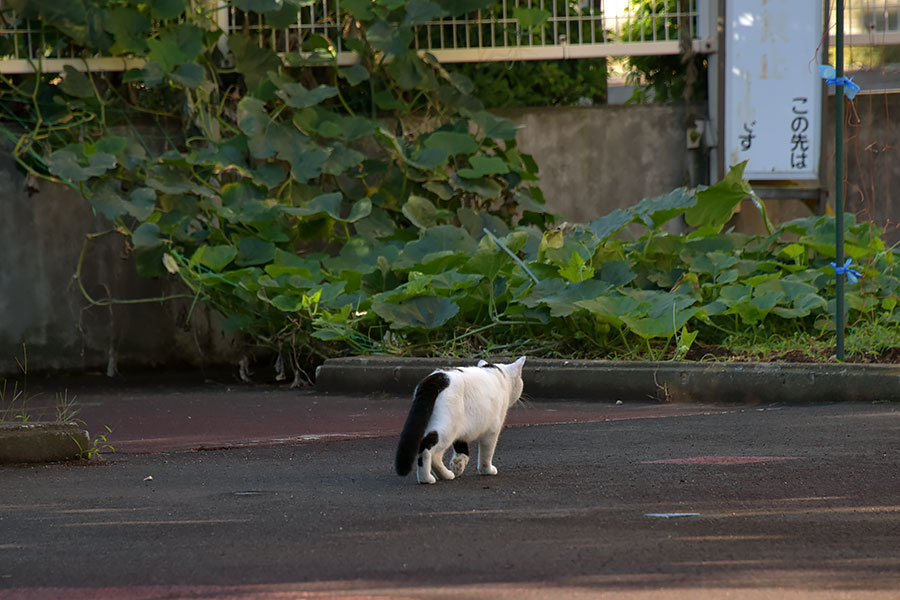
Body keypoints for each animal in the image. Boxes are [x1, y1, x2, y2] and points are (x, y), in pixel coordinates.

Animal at [394, 356, 528, 482]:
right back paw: (426, 478)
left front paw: (458, 464)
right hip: (447, 428)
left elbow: (461, 447)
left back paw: (445, 475)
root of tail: (437, 377)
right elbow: (487, 453)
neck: (498, 374)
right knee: (427, 449)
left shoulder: (462, 428)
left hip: (443, 423)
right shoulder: (492, 431)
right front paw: (487, 470)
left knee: (434, 454)